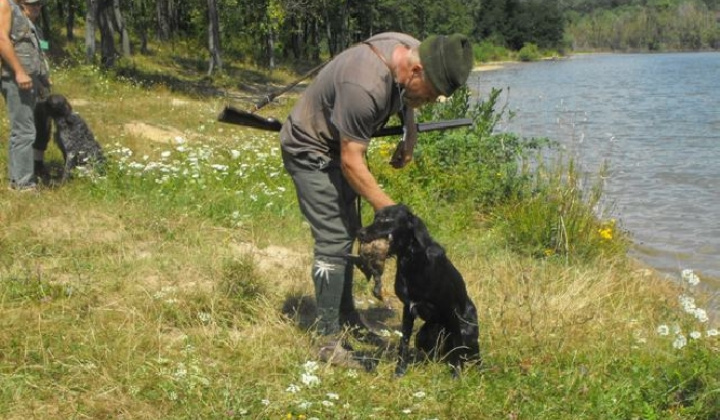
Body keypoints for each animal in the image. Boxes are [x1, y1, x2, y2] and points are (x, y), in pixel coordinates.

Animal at [356, 204, 480, 378]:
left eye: (387, 218)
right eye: (376, 217)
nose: (359, 232)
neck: (413, 261)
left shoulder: (451, 311)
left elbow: (457, 347)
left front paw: (456, 374)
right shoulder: (408, 309)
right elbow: (403, 343)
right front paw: (400, 371)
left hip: (467, 330)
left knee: (471, 355)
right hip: (422, 335)